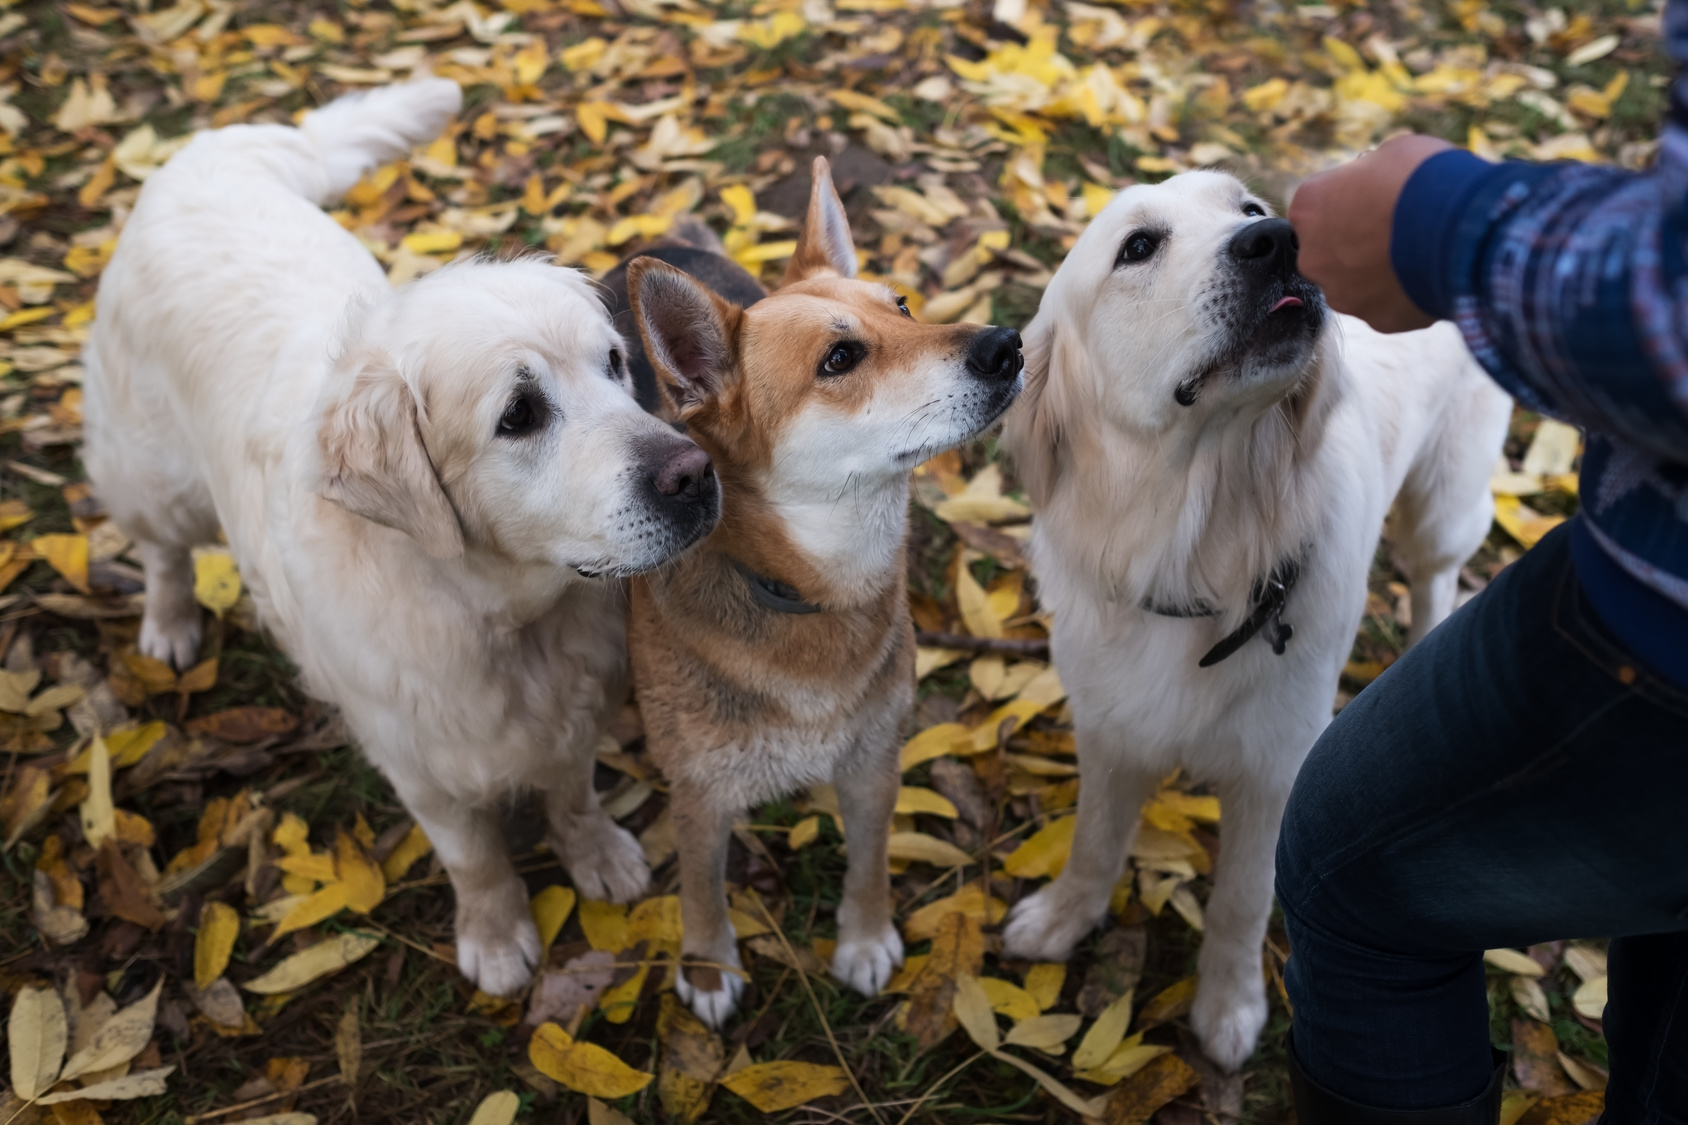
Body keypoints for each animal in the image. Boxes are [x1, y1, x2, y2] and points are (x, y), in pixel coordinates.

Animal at [83, 78, 719, 993]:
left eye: (614, 363)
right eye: (519, 414)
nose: (696, 474)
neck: (497, 616)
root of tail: (202, 152)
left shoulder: (573, 706)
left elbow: (572, 793)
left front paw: (598, 855)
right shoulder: (420, 760)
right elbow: (475, 857)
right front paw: (496, 936)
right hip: (153, 476)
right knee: (162, 547)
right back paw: (168, 624)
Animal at [627, 157, 1019, 1027]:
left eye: (901, 304)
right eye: (840, 359)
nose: (1008, 342)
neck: (804, 594)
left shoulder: (875, 761)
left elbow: (869, 860)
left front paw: (865, 939)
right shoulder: (699, 793)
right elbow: (702, 888)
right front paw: (708, 967)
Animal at [992, 168, 1512, 1067]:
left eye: (1247, 209)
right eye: (1138, 246)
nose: (1277, 241)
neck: (1199, 554)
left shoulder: (1275, 768)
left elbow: (1241, 900)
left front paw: (1229, 1008)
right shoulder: (1109, 729)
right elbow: (1094, 843)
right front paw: (1061, 919)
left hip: (1446, 506)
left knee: (1435, 580)